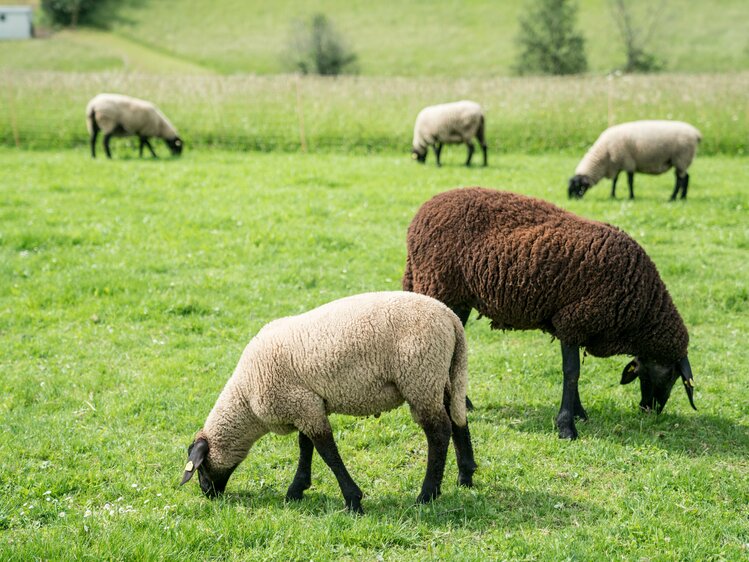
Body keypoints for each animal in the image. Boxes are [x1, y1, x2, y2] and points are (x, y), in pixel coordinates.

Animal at [180, 290, 474, 516]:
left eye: (200, 467)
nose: (207, 493)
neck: (246, 400)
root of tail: (450, 317)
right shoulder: (306, 404)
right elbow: (306, 446)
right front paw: (296, 490)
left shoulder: (301, 404)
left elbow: (327, 452)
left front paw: (353, 500)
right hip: (442, 376)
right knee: (457, 417)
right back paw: (465, 476)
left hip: (420, 378)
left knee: (439, 432)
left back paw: (427, 494)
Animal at [404, 187, 696, 438]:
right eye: (671, 376)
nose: (651, 410)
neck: (641, 308)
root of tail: (421, 214)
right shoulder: (573, 320)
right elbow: (572, 372)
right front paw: (566, 426)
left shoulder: (575, 325)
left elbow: (574, 371)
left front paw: (579, 414)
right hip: (438, 286)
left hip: (458, 299)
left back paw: (463, 403)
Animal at [568, 119, 700, 202]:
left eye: (577, 186)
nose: (571, 199)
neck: (604, 156)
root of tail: (696, 134)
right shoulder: (617, 164)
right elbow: (615, 181)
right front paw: (612, 196)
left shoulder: (628, 162)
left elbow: (629, 182)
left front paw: (631, 196)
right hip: (681, 161)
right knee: (685, 177)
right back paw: (682, 197)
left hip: (681, 157)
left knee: (679, 180)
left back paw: (672, 198)